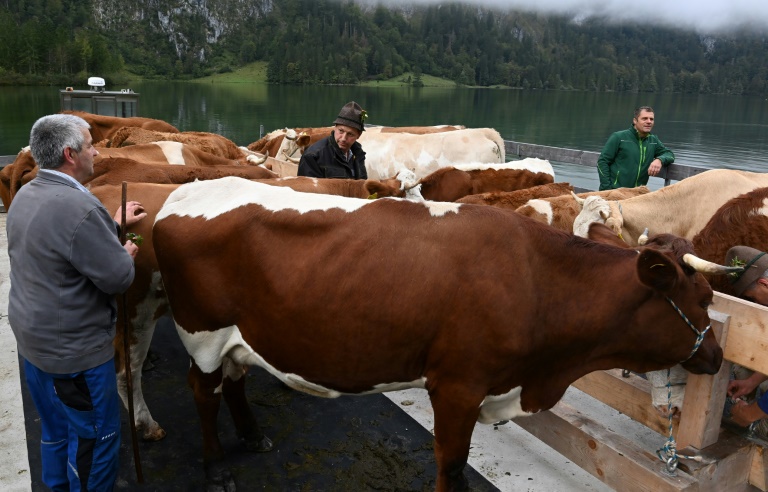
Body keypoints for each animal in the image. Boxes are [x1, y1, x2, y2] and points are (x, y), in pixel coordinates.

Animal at [148, 177, 732, 492]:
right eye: (703, 299)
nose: (718, 355)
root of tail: (185, 193)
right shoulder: (457, 385)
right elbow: (451, 464)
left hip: (240, 333)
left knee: (235, 378)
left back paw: (252, 435)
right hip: (201, 331)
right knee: (204, 391)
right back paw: (214, 468)